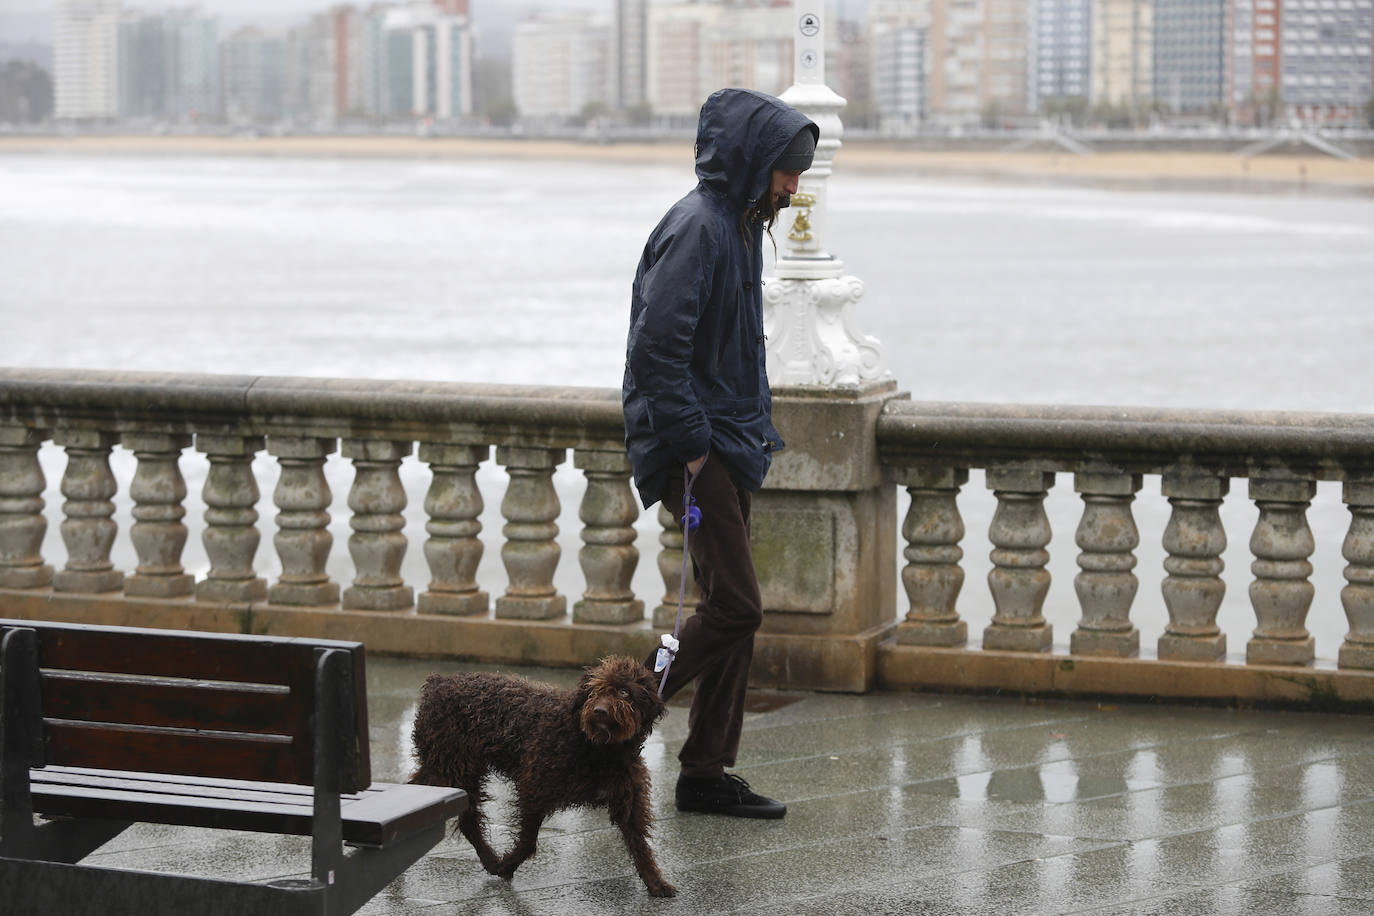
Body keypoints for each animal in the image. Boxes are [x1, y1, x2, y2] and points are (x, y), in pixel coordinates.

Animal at [403, 656, 673, 900]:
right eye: (594, 691)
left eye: (625, 692)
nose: (599, 710)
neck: (597, 747)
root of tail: (439, 682)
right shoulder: (534, 787)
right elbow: (527, 842)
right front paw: (506, 866)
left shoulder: (627, 799)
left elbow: (640, 845)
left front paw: (655, 882)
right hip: (451, 767)